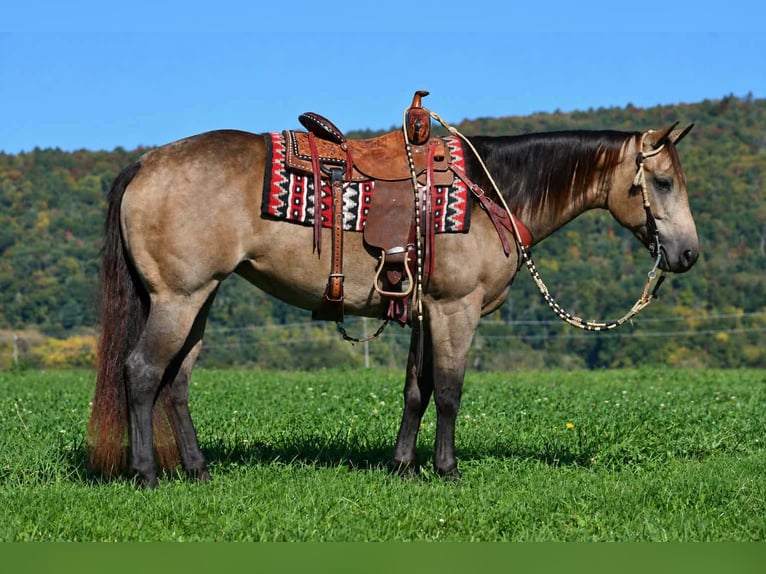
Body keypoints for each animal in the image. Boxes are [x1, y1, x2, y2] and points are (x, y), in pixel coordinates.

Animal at [86, 119, 699, 487]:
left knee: (176, 381)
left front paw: (403, 466)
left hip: (199, 299)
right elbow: (449, 391)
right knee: (142, 373)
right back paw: (145, 473)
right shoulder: (456, 309)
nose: (688, 253)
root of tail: (145, 164)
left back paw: (197, 470)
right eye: (664, 182)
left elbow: (416, 391)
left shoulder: (425, 313)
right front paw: (447, 469)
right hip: (178, 299)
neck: (493, 191)